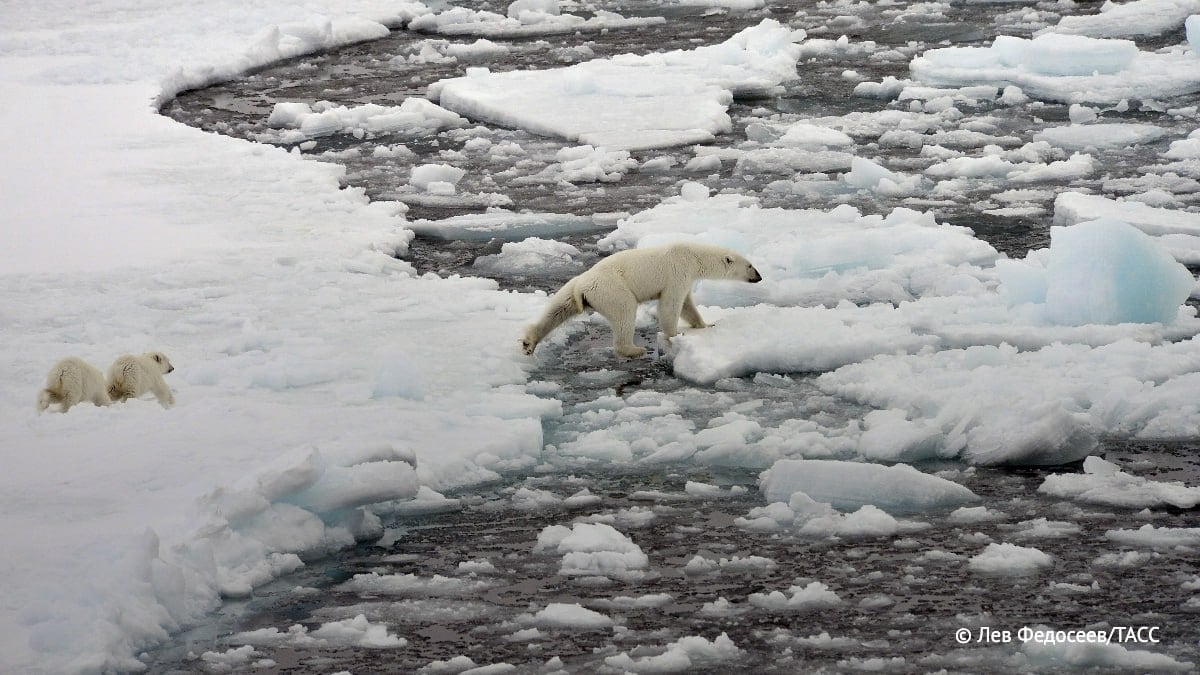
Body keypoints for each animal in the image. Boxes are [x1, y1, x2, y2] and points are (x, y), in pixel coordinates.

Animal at [523, 240, 758, 357]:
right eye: (749, 265)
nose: (759, 276)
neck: (693, 255)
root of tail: (582, 285)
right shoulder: (678, 272)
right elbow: (671, 304)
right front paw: (675, 334)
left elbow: (687, 305)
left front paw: (706, 324)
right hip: (612, 289)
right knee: (625, 311)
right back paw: (634, 349)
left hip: (571, 287)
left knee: (557, 310)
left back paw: (529, 342)